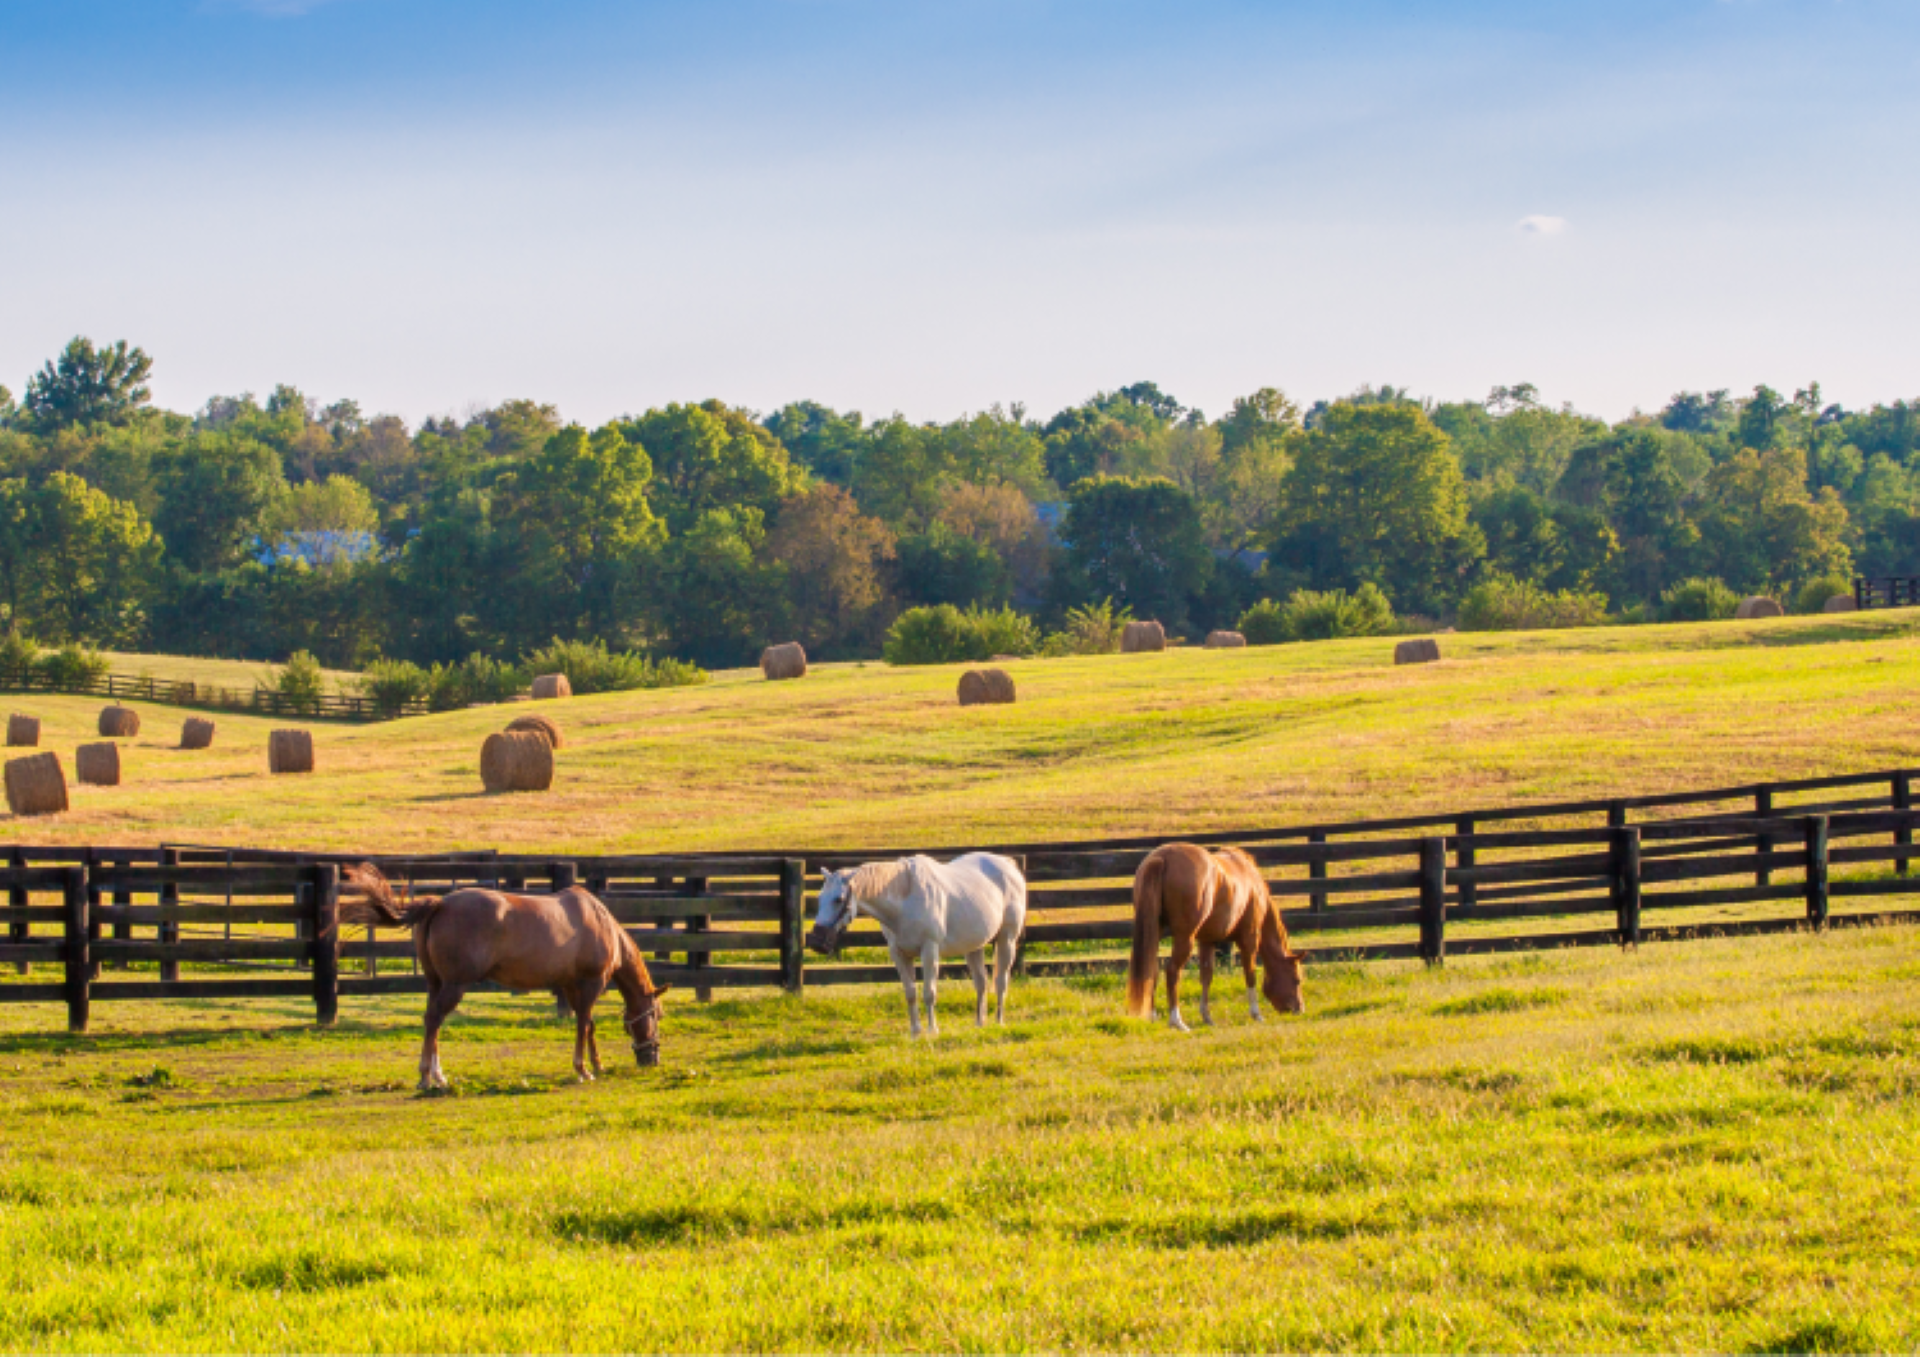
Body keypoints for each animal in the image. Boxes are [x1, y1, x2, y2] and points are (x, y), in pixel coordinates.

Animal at [341, 871, 672, 1090]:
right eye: (656, 1014)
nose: (652, 1059)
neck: (601, 923)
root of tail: (439, 904)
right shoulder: (590, 984)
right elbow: (584, 1025)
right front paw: (583, 1070)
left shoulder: (570, 986)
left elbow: (587, 1025)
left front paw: (597, 1065)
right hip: (454, 985)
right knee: (434, 1019)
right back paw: (426, 1076)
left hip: (435, 983)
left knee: (430, 1021)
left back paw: (438, 1074)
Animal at [802, 856, 1029, 1036]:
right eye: (820, 898)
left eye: (838, 899)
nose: (816, 942)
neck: (906, 897)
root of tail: (1008, 865)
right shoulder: (899, 954)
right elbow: (910, 993)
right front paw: (915, 1031)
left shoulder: (929, 950)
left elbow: (929, 993)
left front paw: (932, 1030)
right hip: (974, 946)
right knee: (981, 983)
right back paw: (979, 1023)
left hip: (1007, 939)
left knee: (1000, 981)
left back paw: (998, 1021)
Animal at [1121, 836, 1305, 1028]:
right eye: (1297, 980)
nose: (1299, 1009)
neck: (1252, 883)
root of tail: (1162, 857)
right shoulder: (1249, 938)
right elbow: (1250, 974)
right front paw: (1256, 1014)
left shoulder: (1207, 940)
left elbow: (1206, 976)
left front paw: (1207, 1016)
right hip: (1184, 939)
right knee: (1172, 971)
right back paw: (1177, 1021)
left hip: (1155, 932)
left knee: (1152, 970)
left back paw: (1153, 1017)